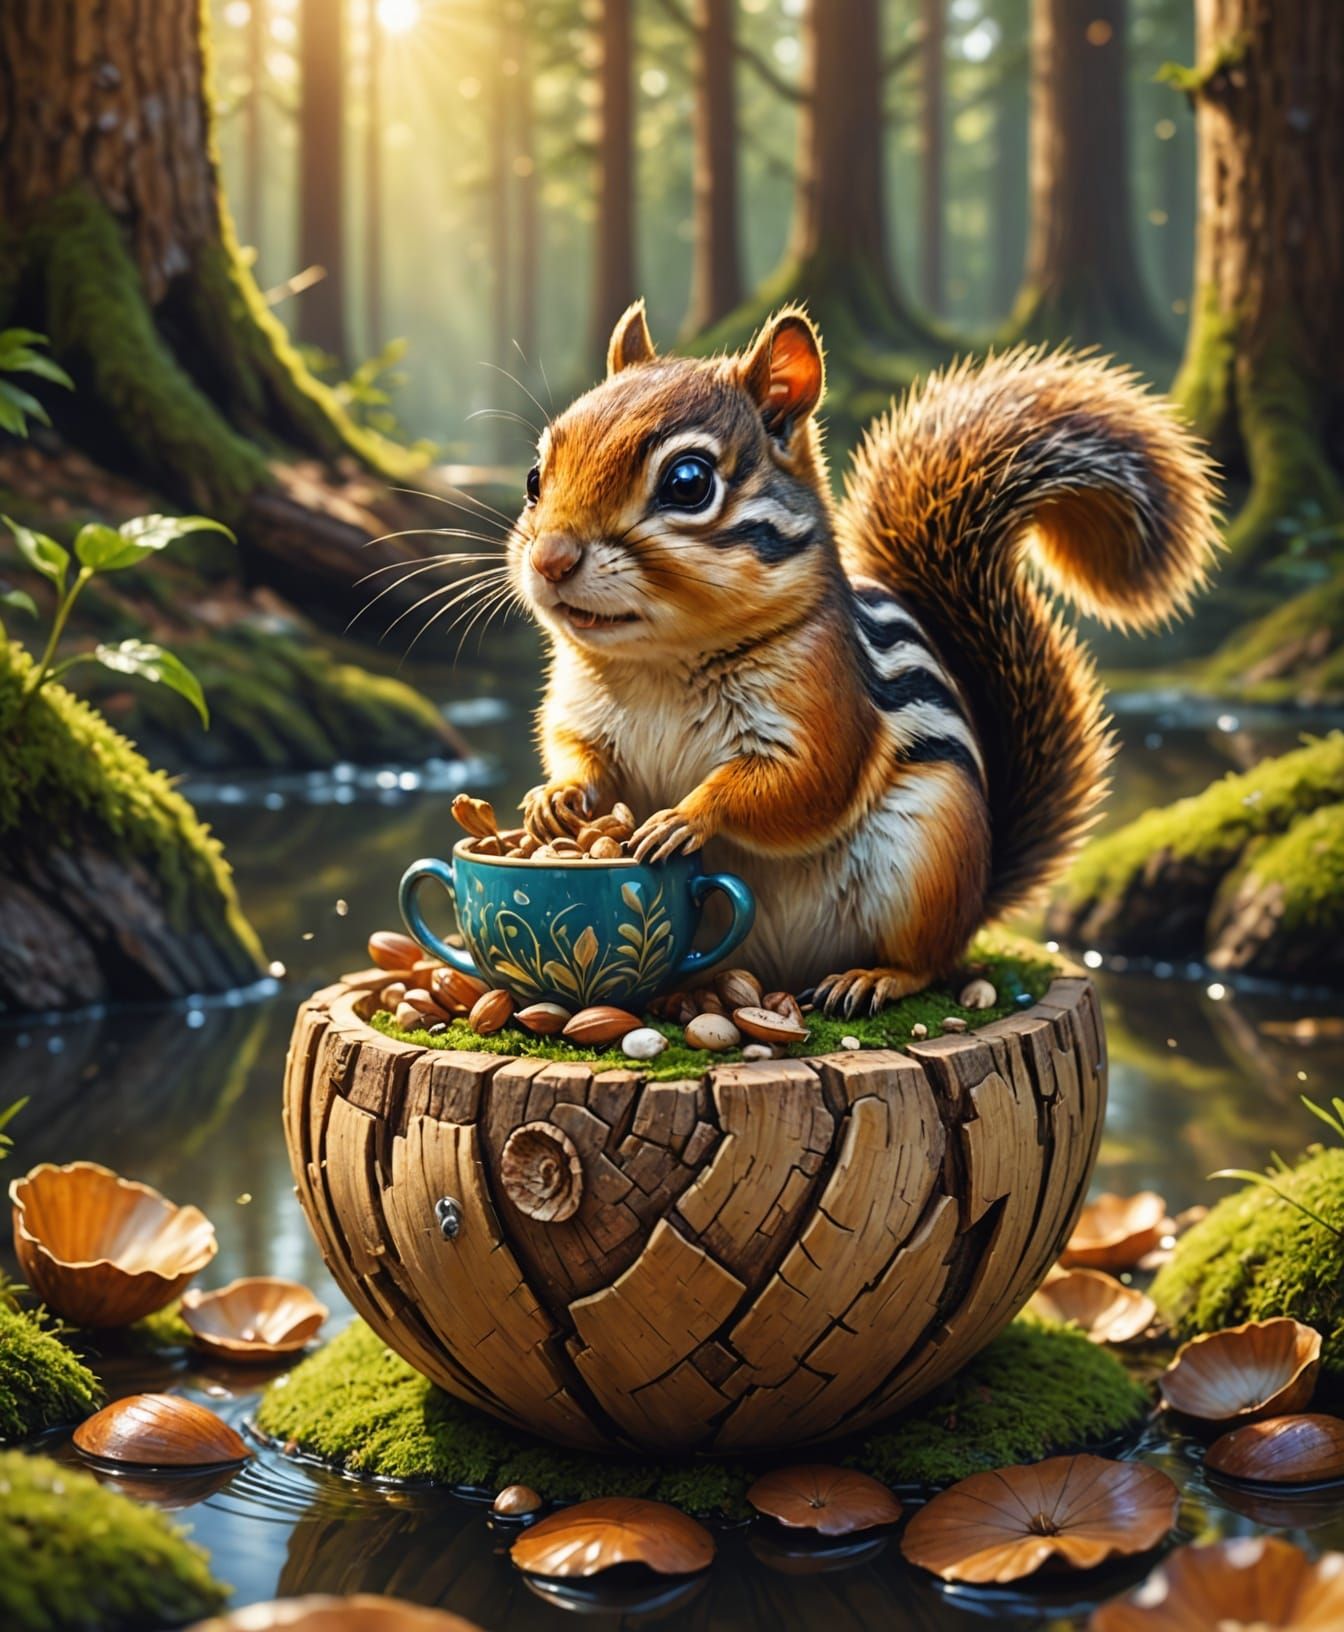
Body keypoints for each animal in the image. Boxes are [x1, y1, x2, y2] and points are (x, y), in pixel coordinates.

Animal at [510, 300, 1219, 1013]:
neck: (659, 662)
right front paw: (554, 798)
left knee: (928, 961)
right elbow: (578, 755)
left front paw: (686, 816)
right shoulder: (579, 710)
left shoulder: (824, 705)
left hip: (929, 857)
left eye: (688, 483)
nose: (551, 559)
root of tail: (980, 894)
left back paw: (870, 979)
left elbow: (799, 785)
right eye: (535, 477)